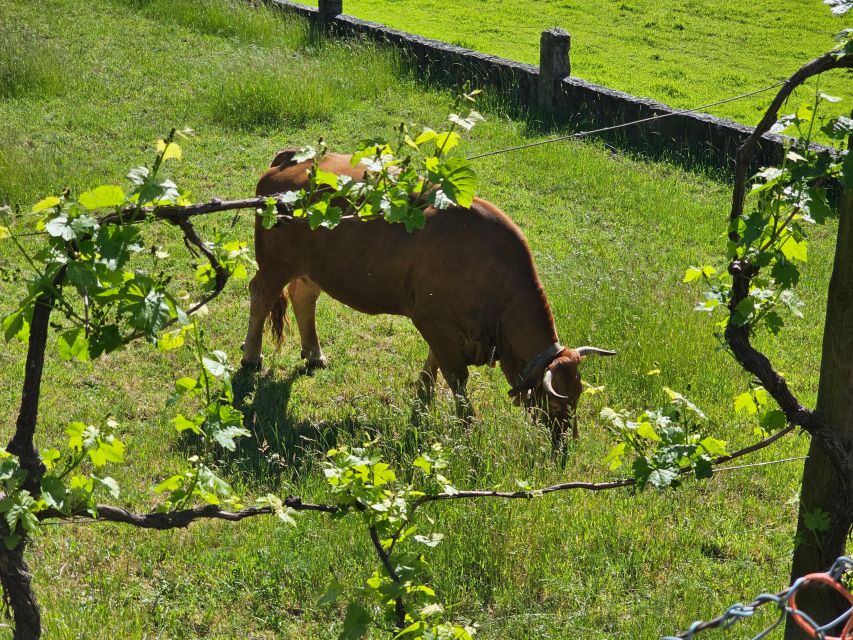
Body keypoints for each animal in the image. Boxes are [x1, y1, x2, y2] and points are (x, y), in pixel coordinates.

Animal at [240, 149, 612, 444]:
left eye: (578, 396)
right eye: (557, 402)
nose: (565, 444)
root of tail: (291, 160)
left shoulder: (442, 323)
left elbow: (432, 366)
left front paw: (421, 402)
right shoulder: (434, 320)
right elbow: (456, 376)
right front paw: (468, 426)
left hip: (313, 267)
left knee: (304, 297)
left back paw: (314, 354)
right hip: (274, 264)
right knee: (260, 296)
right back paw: (251, 357)